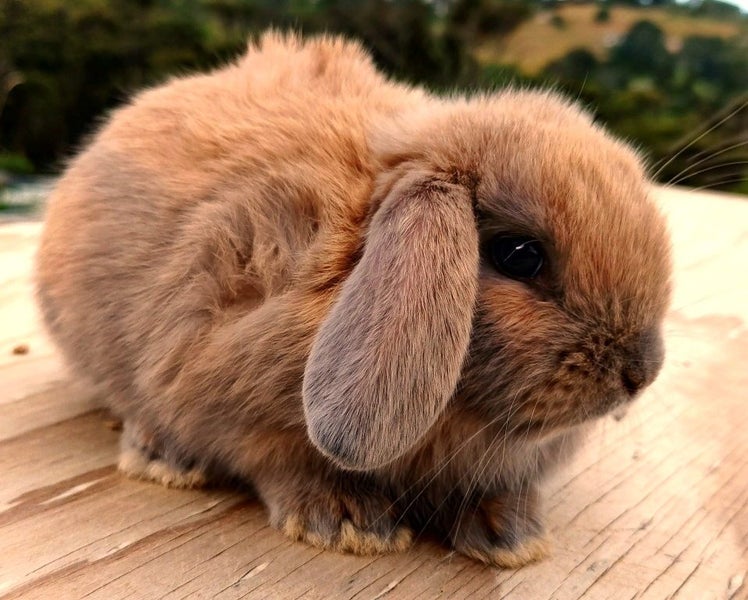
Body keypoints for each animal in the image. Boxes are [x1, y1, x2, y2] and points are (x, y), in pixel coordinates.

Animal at [35, 32, 672, 567]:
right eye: (519, 254)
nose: (640, 373)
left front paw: (511, 538)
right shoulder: (224, 375)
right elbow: (276, 459)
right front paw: (351, 524)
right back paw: (163, 459)